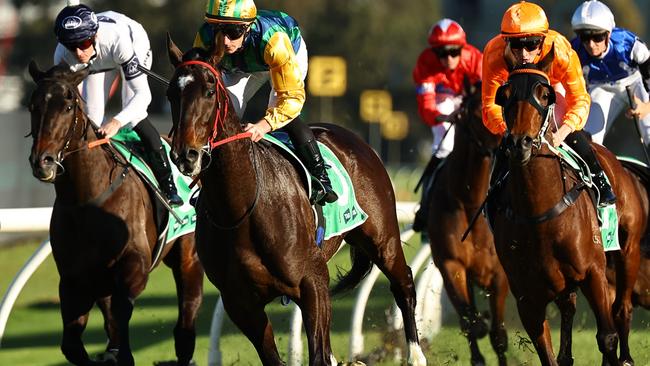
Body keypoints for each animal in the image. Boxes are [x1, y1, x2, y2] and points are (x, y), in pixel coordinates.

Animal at [26, 61, 204, 364]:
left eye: (68, 106)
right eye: (33, 105)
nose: (43, 161)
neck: (87, 202)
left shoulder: (134, 266)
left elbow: (121, 315)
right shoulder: (74, 280)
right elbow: (72, 344)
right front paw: (107, 353)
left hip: (188, 257)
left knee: (184, 324)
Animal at [162, 35, 426, 366]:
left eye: (210, 91)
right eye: (171, 93)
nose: (186, 155)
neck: (242, 208)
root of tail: (355, 139)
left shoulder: (313, 283)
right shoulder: (241, 304)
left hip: (383, 238)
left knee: (403, 283)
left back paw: (415, 355)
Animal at [422, 81, 508, 364]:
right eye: (478, 112)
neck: (470, 203)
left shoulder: (499, 274)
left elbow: (499, 337)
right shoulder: (451, 264)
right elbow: (470, 322)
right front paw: (478, 323)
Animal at [492, 51, 644, 366]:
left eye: (544, 94)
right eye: (505, 95)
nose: (520, 143)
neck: (539, 211)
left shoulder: (593, 273)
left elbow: (607, 337)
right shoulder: (527, 296)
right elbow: (546, 352)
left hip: (628, 250)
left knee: (621, 309)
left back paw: (626, 357)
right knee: (569, 309)